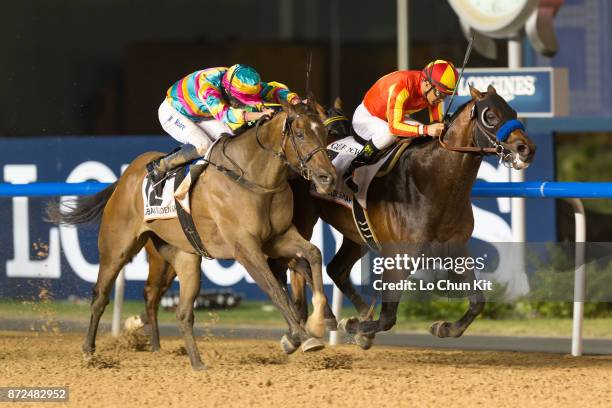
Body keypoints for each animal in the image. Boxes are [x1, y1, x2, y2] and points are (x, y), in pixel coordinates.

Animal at [46, 100, 334, 368]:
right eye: (300, 134)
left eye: (325, 133)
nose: (327, 177)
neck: (253, 177)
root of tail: (125, 177)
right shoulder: (246, 248)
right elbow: (275, 289)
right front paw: (303, 337)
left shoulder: (278, 238)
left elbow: (313, 254)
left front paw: (321, 320)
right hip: (117, 247)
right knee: (101, 296)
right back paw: (89, 351)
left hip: (183, 256)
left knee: (181, 310)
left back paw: (194, 362)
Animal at [286, 85, 536, 348]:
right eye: (490, 116)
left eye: (513, 111)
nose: (527, 149)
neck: (432, 181)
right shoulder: (398, 254)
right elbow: (388, 317)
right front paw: (357, 326)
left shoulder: (456, 247)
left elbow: (478, 301)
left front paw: (445, 327)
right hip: (304, 221)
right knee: (299, 263)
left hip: (357, 234)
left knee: (335, 268)